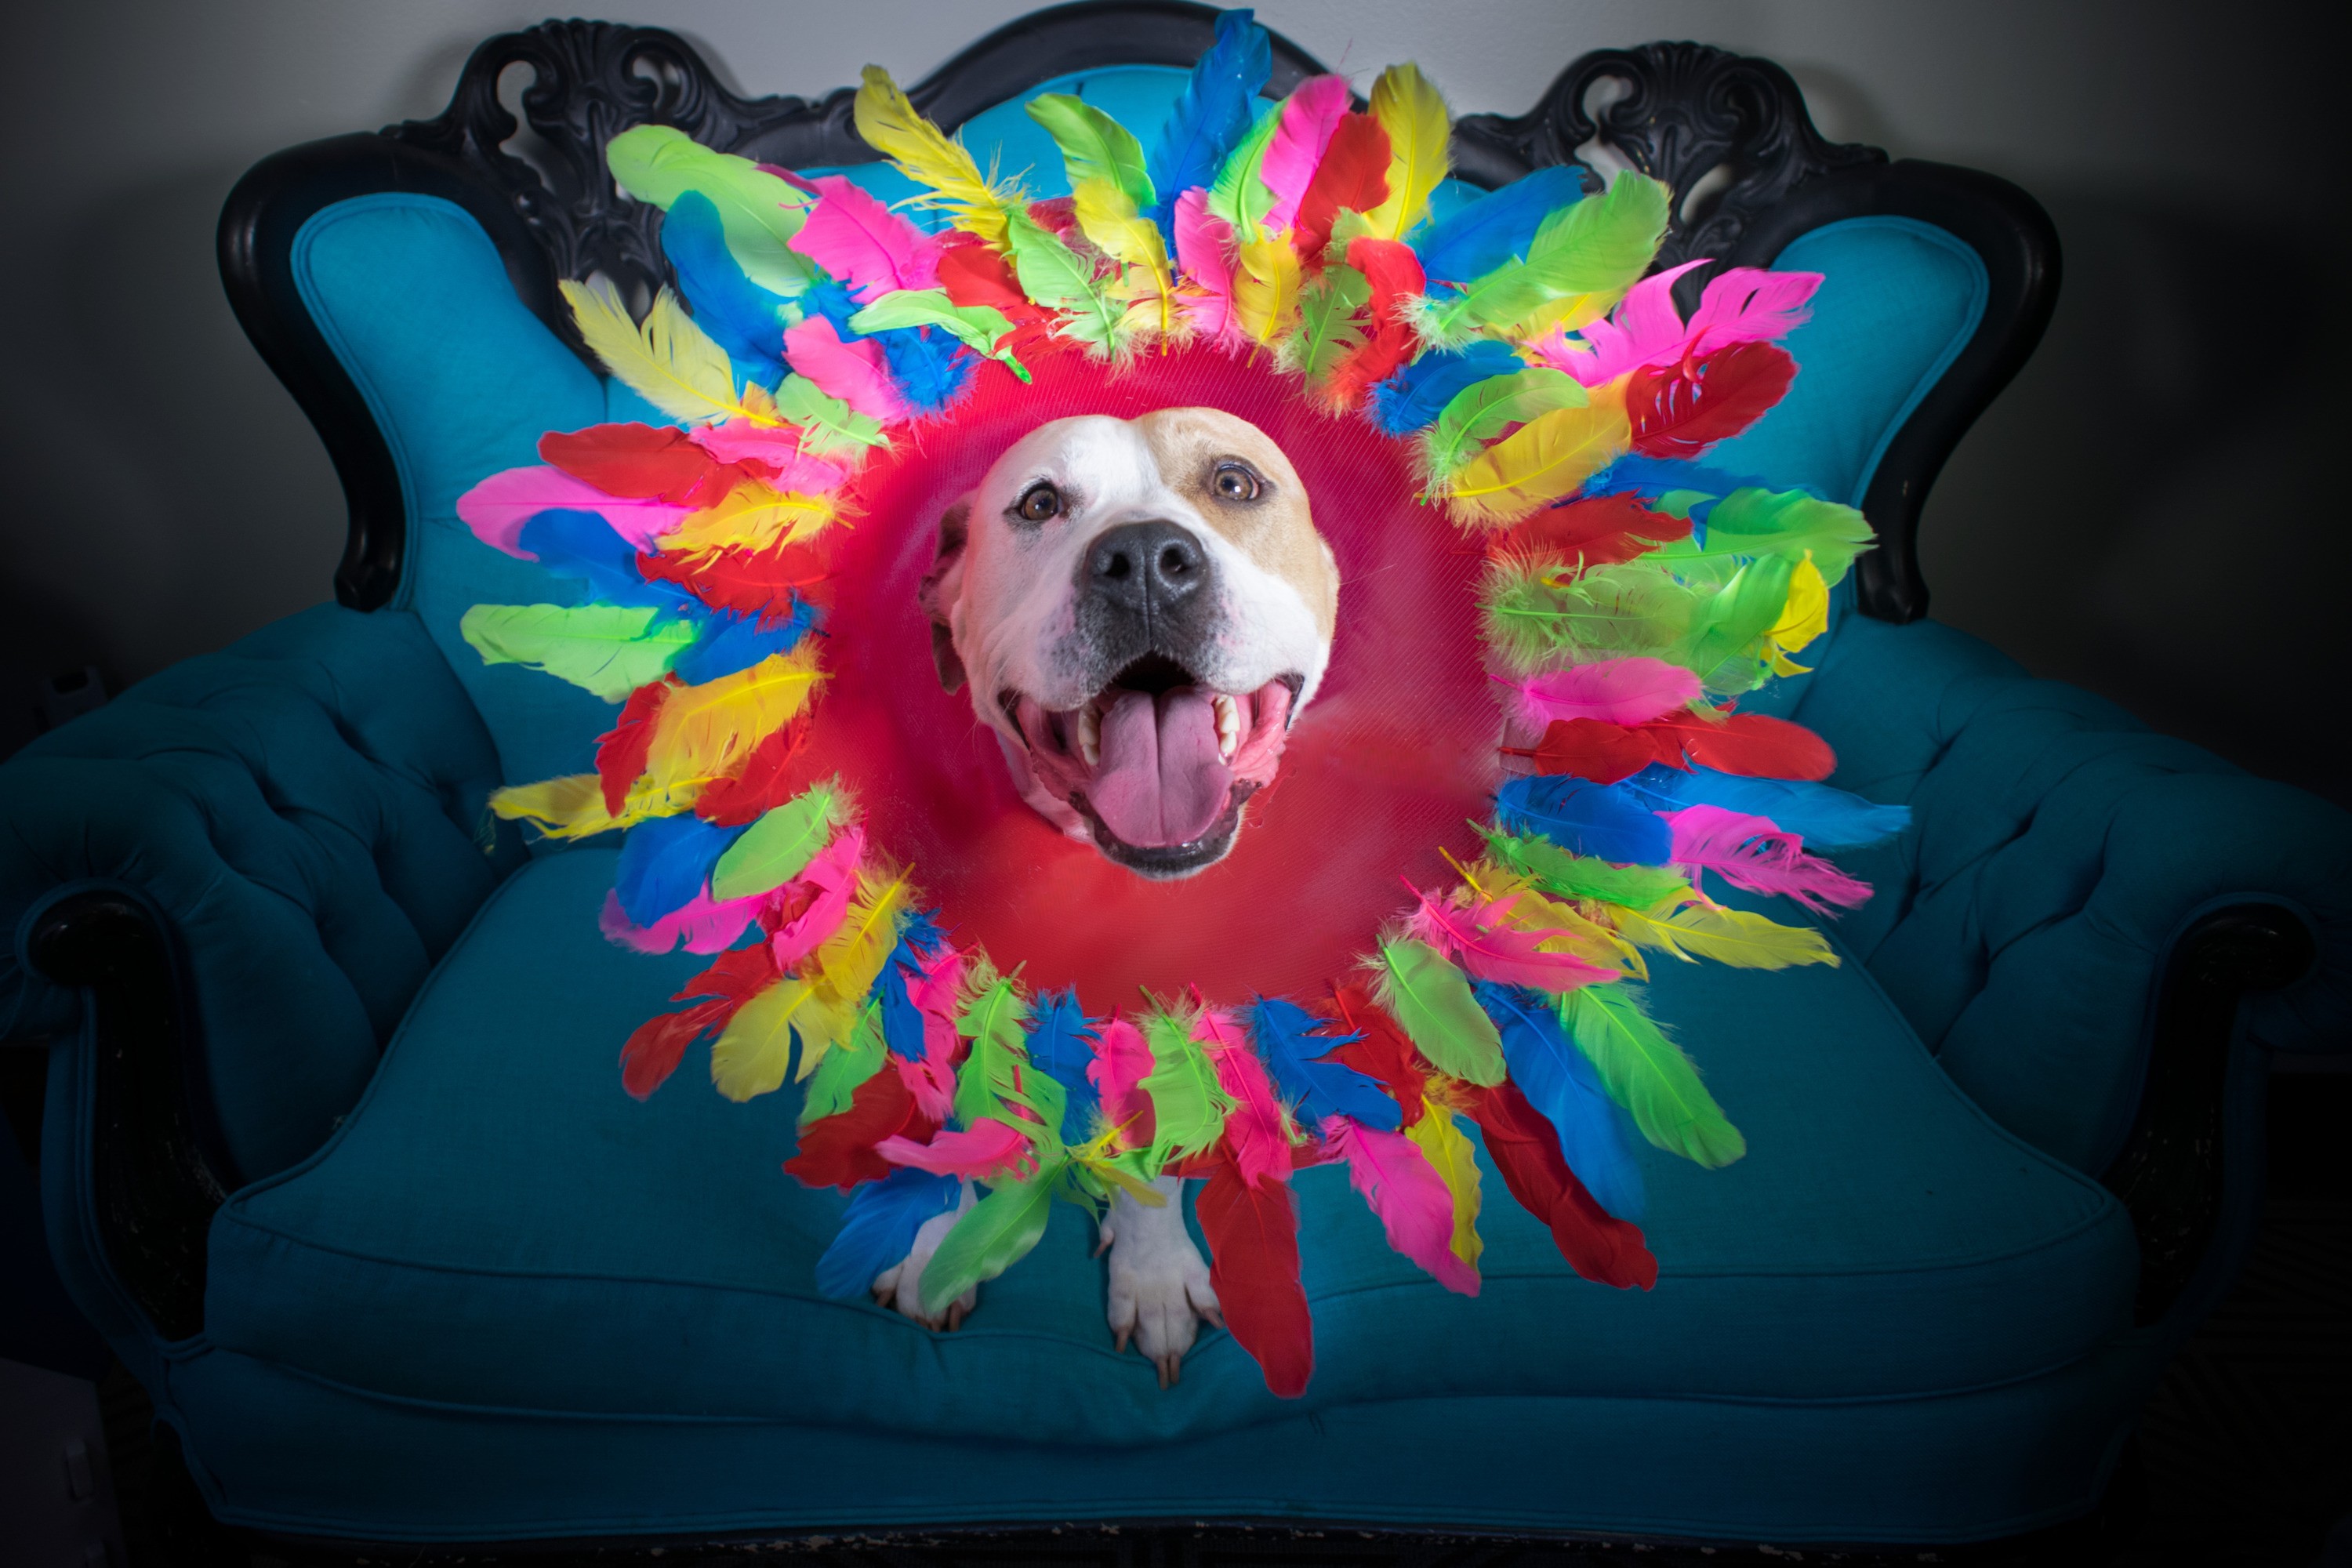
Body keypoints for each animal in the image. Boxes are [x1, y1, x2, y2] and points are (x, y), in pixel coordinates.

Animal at [880, 408, 1345, 1382]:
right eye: (1039, 503)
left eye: (1235, 482)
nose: (1143, 560)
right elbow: (952, 1081)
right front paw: (936, 1236)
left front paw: (1155, 1267)